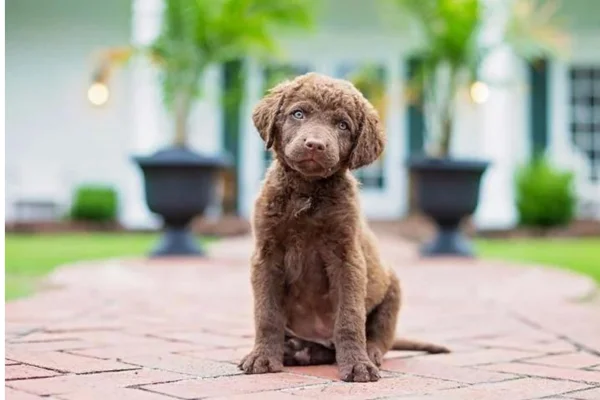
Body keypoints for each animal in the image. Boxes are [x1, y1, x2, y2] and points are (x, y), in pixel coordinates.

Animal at [237, 73, 448, 382]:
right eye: (298, 114)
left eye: (342, 125)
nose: (315, 145)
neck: (307, 191)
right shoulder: (266, 255)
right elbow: (267, 314)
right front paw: (263, 357)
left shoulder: (347, 257)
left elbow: (349, 318)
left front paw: (358, 365)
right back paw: (297, 351)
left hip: (392, 289)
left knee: (378, 336)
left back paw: (365, 353)